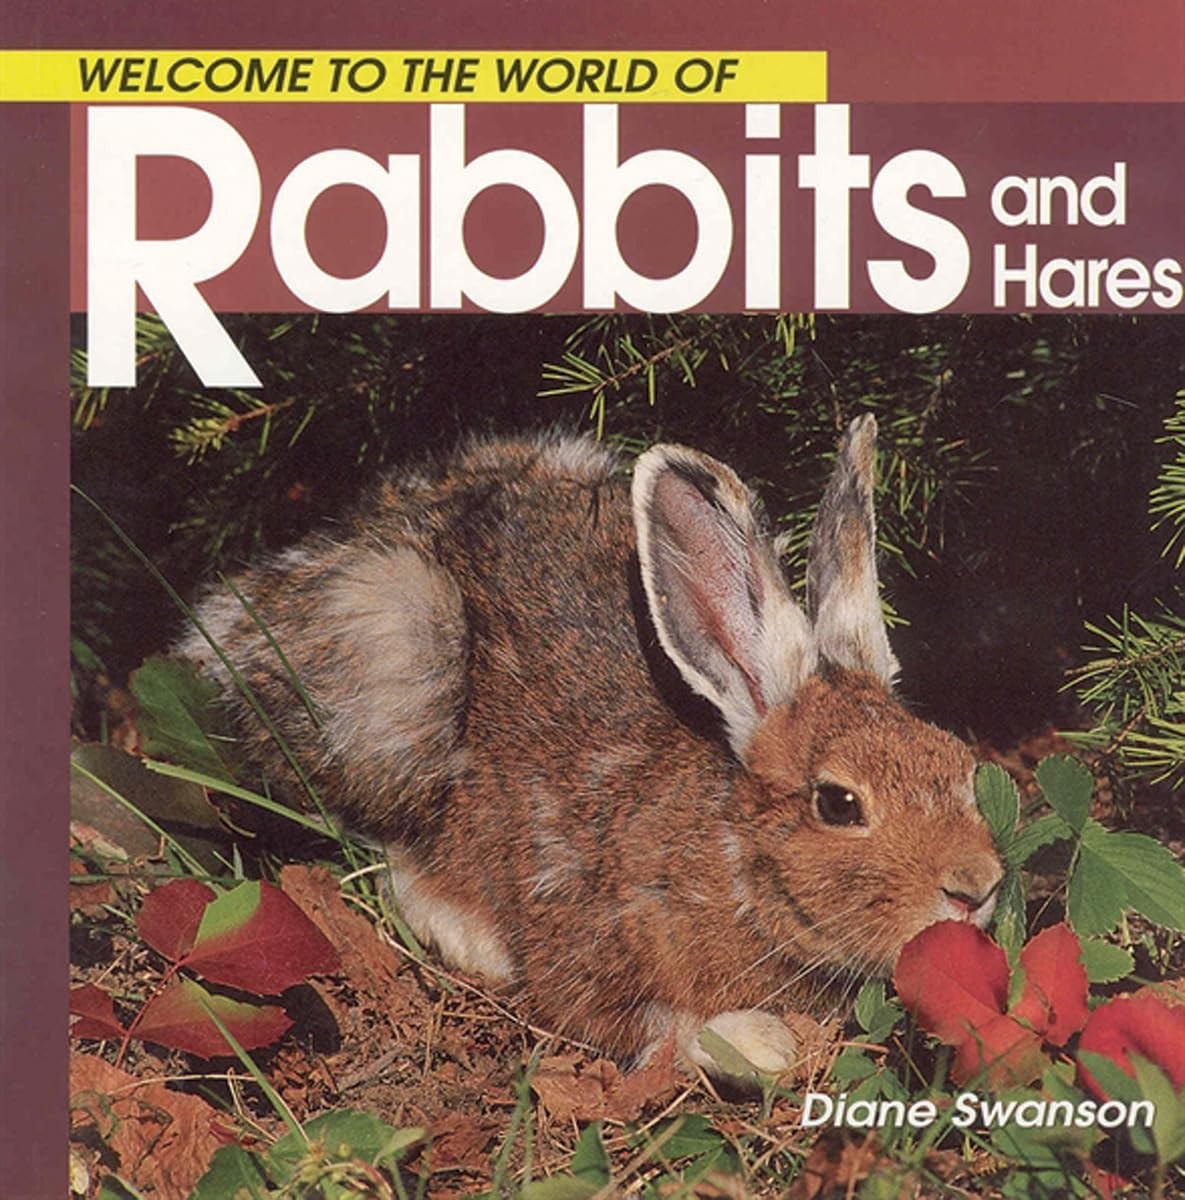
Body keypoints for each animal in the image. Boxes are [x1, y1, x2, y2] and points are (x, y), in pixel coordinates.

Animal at [179, 415, 1003, 1077]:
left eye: (959, 765)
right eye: (838, 803)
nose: (977, 888)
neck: (732, 856)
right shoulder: (588, 949)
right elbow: (659, 1028)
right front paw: (766, 1043)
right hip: (394, 664)